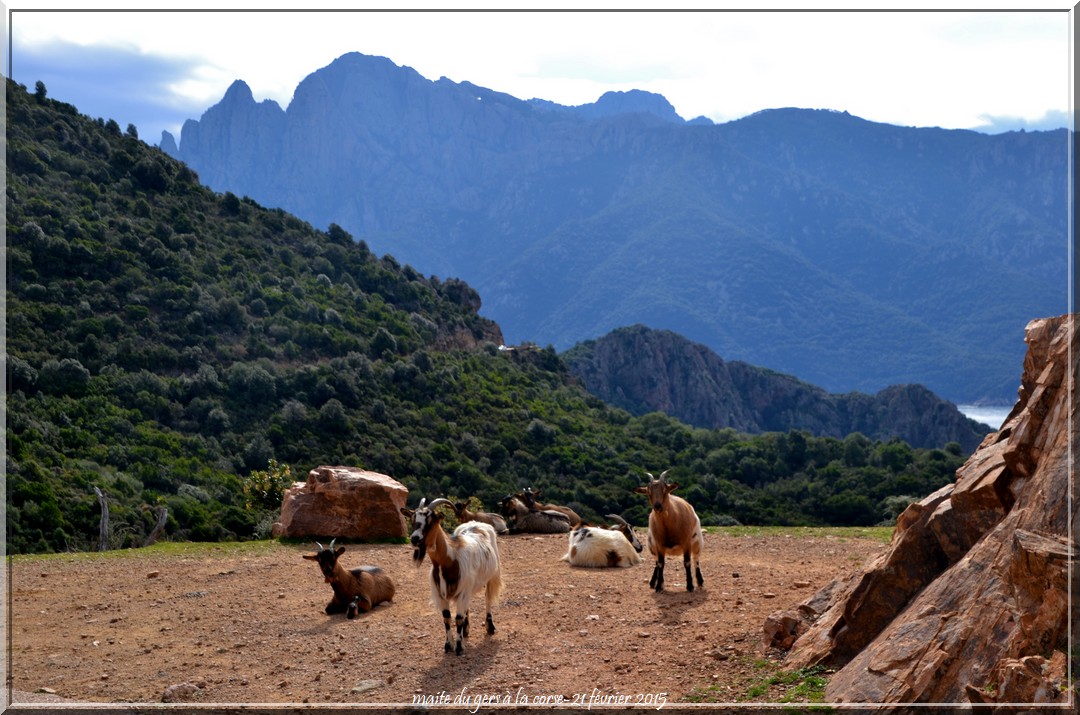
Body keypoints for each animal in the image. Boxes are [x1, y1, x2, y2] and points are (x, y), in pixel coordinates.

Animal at [399, 498, 503, 656]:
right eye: (412, 519)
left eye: (431, 520)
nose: (415, 539)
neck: (450, 559)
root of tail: (476, 523)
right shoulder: (442, 594)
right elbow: (447, 619)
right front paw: (448, 645)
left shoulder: (462, 591)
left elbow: (458, 619)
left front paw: (459, 647)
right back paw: (466, 630)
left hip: (492, 574)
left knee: (488, 599)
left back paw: (490, 627)